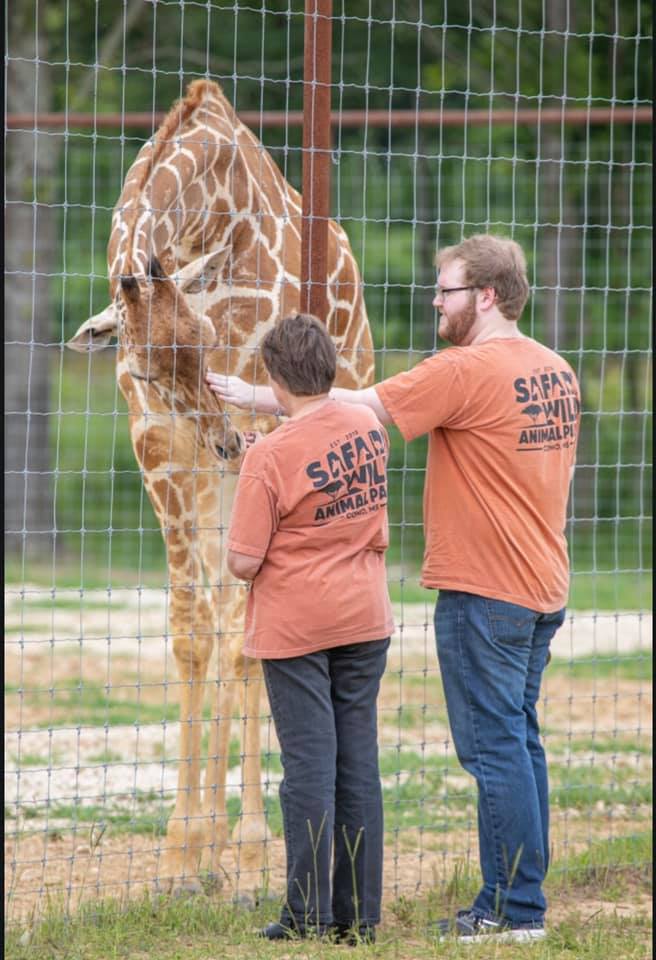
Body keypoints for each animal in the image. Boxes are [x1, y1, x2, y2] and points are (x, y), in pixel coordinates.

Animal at [67, 79, 376, 896]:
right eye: (143, 371)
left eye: (205, 347)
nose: (224, 439)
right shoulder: (159, 449)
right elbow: (190, 629)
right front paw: (183, 853)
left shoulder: (260, 433)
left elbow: (242, 636)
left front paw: (247, 853)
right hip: (209, 482)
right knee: (219, 612)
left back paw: (253, 846)